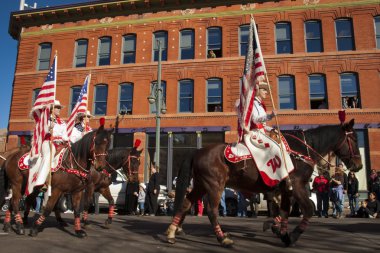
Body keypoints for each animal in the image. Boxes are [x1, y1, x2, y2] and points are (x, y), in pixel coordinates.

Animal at [166, 119, 362, 247]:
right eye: (353, 139)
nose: (358, 165)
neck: (300, 151)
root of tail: (198, 151)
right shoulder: (297, 185)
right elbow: (308, 209)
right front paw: (291, 236)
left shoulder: (285, 188)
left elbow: (285, 210)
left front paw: (278, 229)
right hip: (214, 186)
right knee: (212, 211)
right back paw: (222, 238)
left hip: (201, 185)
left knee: (185, 204)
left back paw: (172, 231)